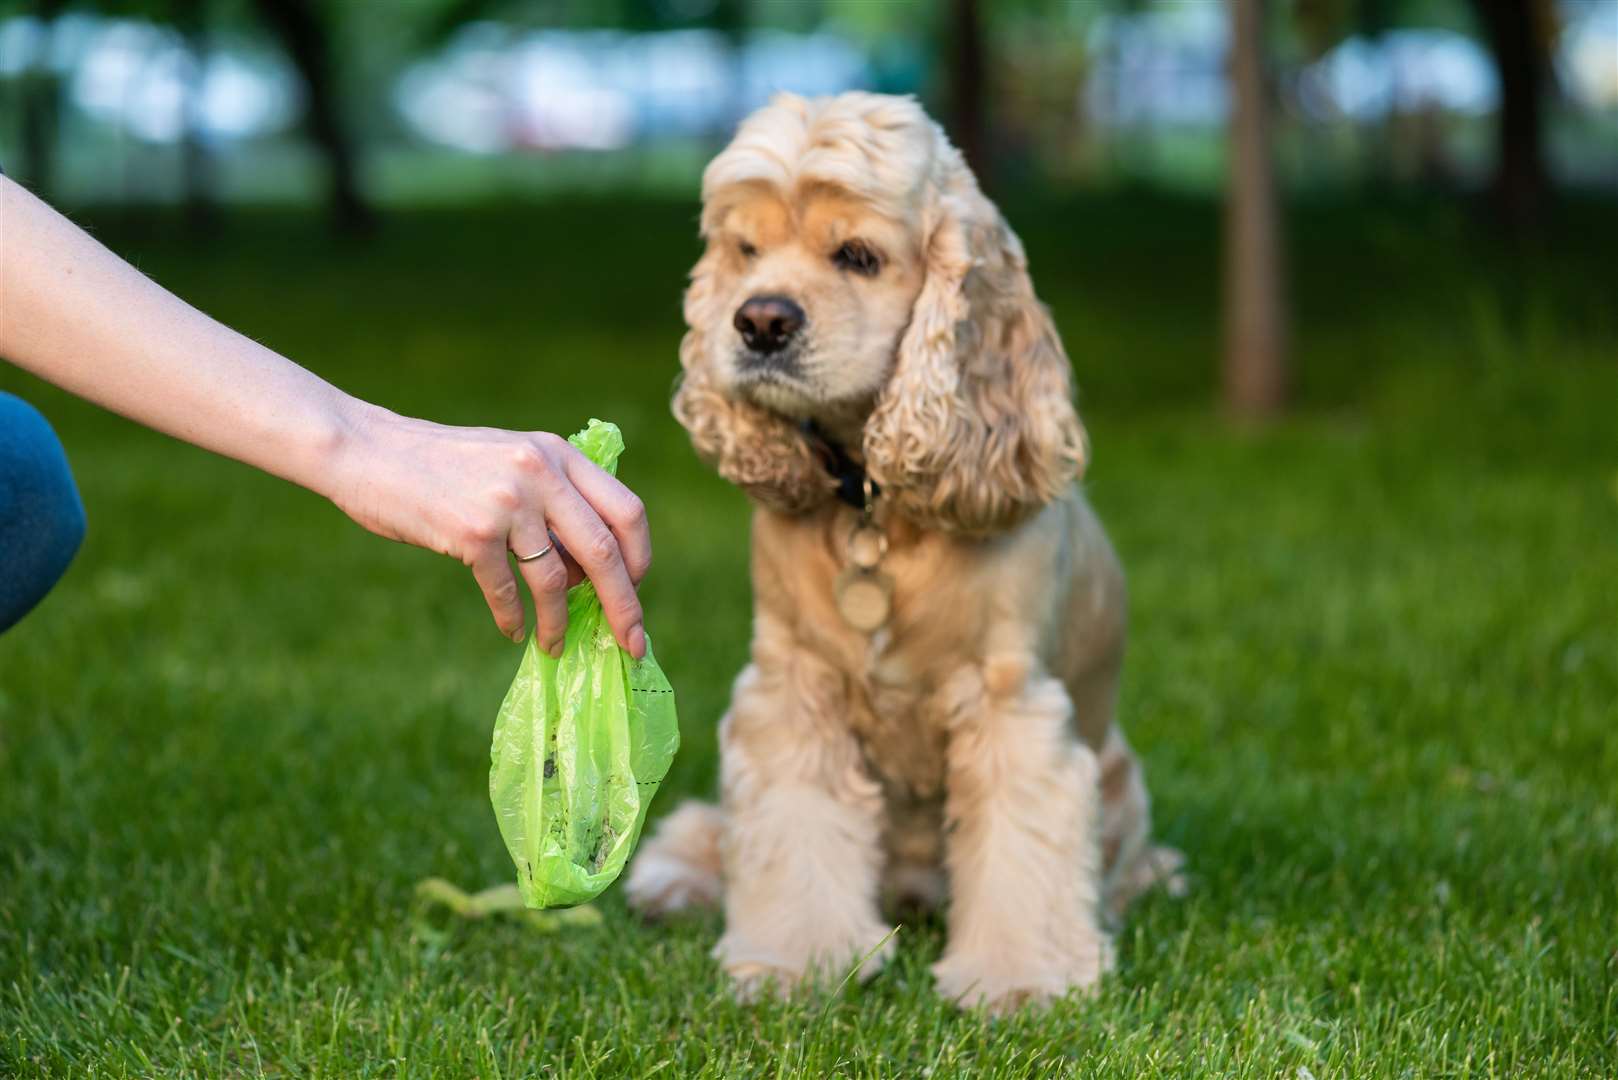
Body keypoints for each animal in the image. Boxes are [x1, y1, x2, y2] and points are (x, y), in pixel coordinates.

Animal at [624, 93, 1184, 1016]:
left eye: (857, 255)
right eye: (746, 250)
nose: (759, 320)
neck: (875, 504)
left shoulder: (1011, 703)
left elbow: (1023, 843)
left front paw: (1021, 982)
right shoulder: (793, 687)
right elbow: (791, 829)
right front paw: (792, 964)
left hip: (1120, 785)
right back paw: (672, 879)